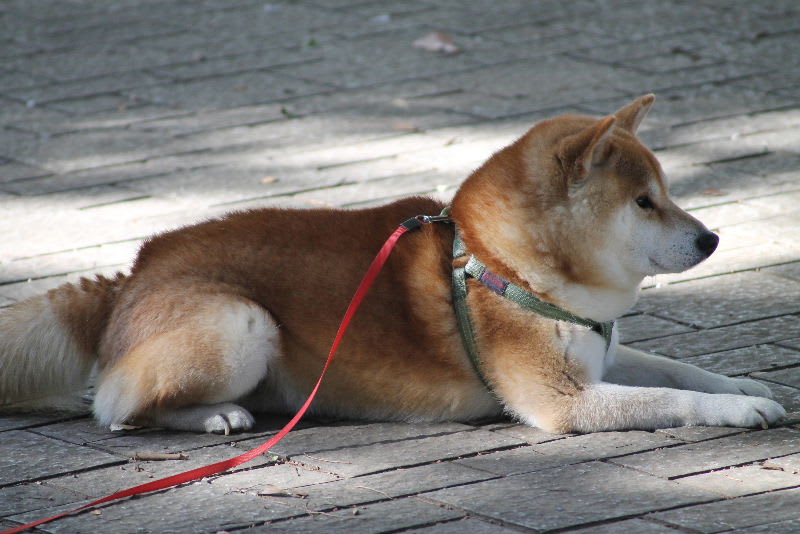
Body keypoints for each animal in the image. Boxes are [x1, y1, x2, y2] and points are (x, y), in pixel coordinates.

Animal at [0, 95, 788, 436]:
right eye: (645, 203)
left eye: (669, 193)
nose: (712, 240)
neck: (504, 264)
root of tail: (133, 272)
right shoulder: (563, 400)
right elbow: (669, 398)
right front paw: (739, 409)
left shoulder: (605, 350)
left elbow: (682, 372)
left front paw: (746, 382)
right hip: (241, 324)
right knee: (114, 408)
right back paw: (216, 414)